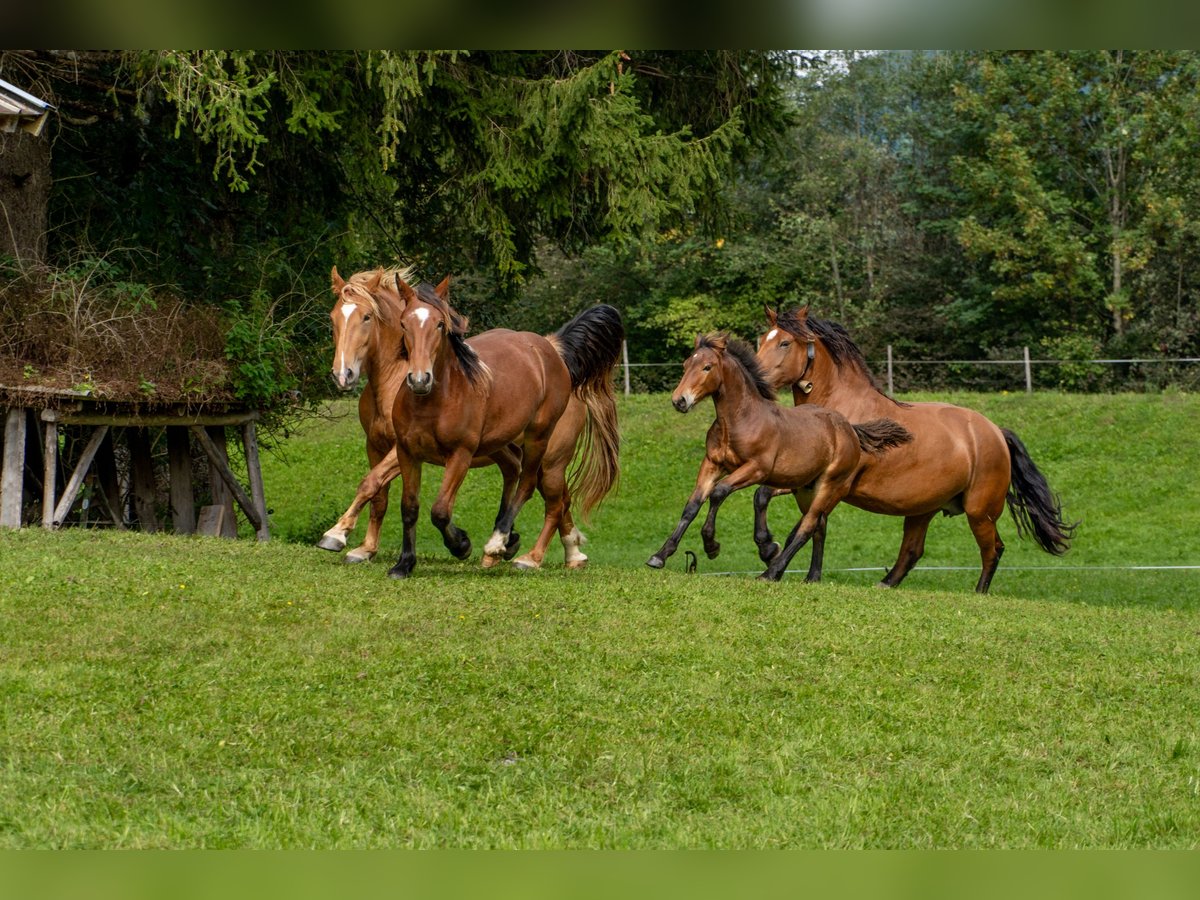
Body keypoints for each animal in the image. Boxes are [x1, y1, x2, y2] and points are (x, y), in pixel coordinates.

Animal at [331, 274, 628, 580]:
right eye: (334, 318)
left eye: (366, 317)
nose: (343, 374)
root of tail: (554, 353)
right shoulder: (391, 448)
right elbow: (389, 499)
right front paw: (379, 554)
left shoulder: (448, 454)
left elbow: (429, 506)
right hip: (514, 451)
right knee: (540, 488)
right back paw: (558, 551)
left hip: (546, 451)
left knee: (543, 495)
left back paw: (524, 554)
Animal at [648, 336, 907, 585]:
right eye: (685, 365)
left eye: (707, 367)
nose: (679, 401)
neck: (740, 420)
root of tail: (850, 429)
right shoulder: (712, 464)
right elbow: (692, 505)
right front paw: (660, 556)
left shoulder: (756, 469)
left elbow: (719, 492)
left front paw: (712, 546)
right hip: (806, 489)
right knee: (820, 526)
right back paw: (811, 576)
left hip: (829, 485)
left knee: (808, 526)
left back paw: (771, 572)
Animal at [753, 307, 1075, 595]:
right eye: (761, 339)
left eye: (784, 342)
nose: (757, 376)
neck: (840, 414)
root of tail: (995, 431)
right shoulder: (806, 481)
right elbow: (767, 497)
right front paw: (771, 550)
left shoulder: (835, 486)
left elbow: (804, 524)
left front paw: (773, 561)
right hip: (923, 510)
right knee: (912, 551)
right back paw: (884, 584)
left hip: (980, 512)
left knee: (993, 550)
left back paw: (979, 593)